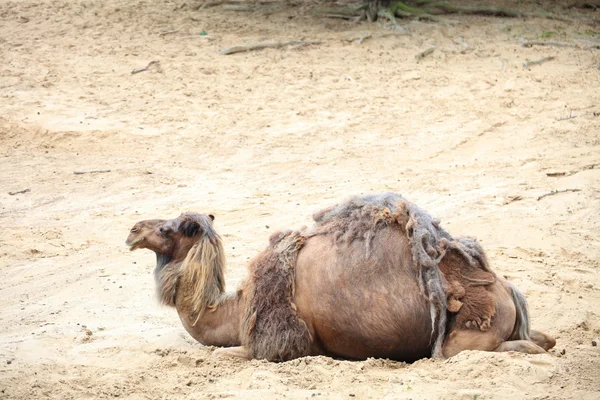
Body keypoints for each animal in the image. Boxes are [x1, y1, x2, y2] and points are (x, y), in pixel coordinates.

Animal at [124, 192, 556, 360]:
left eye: (168, 228)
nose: (133, 230)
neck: (239, 307)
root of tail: (506, 288)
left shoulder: (278, 345)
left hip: (463, 335)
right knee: (542, 338)